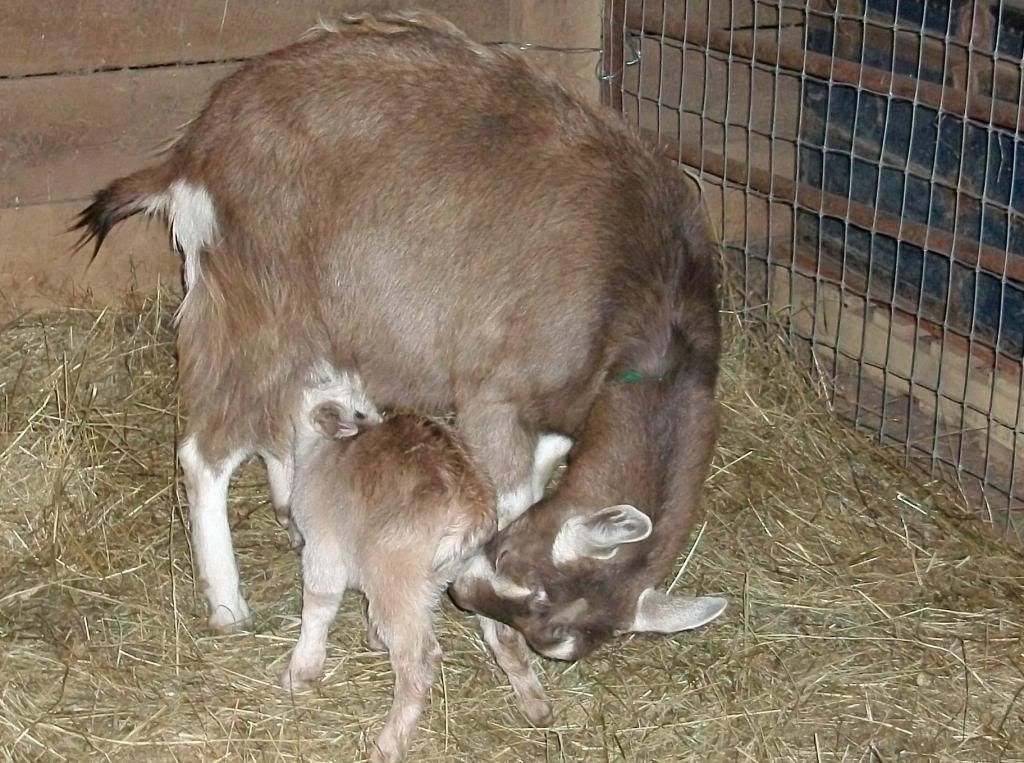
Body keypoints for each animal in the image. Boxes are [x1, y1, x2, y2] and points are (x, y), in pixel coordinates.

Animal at [72, 9, 726, 716]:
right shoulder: (496, 394)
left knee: (285, 411)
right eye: (516, 572)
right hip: (257, 297)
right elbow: (503, 491)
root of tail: (196, 146)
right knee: (207, 448)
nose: (462, 595)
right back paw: (227, 603)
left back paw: (292, 508)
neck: (644, 302)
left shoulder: (557, 413)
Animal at [282, 363, 515, 762]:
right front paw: (374, 638)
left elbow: (318, 606)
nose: (310, 371)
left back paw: (387, 745)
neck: (321, 451)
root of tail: (473, 509)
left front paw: (301, 672)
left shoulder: (324, 547)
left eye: (324, 383)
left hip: (394, 572)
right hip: (460, 574)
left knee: (420, 660)